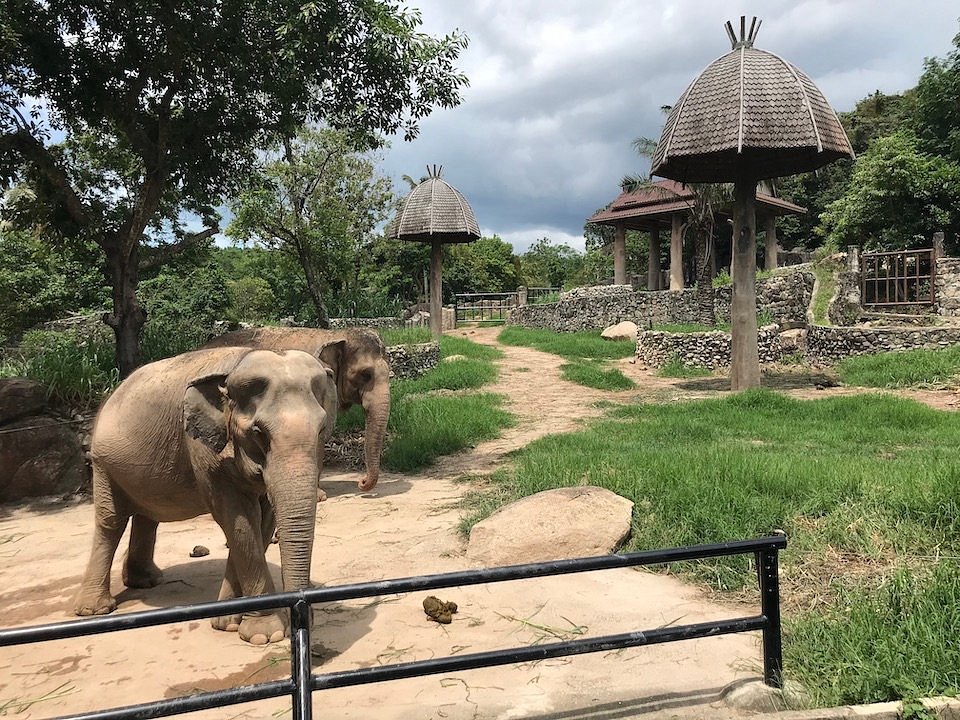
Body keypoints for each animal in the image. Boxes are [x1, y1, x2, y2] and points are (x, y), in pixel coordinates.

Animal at [74, 345, 342, 645]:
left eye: (321, 430)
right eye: (259, 432)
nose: (305, 614)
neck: (240, 363)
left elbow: (262, 520)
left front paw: (228, 621)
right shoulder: (205, 451)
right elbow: (240, 521)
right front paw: (265, 635)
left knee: (147, 516)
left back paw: (145, 580)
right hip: (103, 461)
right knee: (110, 521)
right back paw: (94, 609)